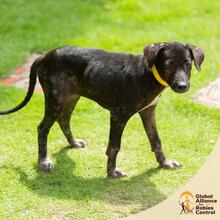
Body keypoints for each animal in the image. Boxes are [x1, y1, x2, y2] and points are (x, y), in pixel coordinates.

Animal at [0, 42, 205, 178]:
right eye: (168, 64)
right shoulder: (118, 116)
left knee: (64, 120)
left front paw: (164, 163)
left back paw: (73, 143)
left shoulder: (148, 112)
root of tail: (44, 56)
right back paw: (44, 161)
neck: (148, 74)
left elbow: (156, 140)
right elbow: (114, 146)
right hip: (55, 99)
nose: (182, 86)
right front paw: (111, 171)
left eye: (188, 63)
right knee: (43, 128)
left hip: (71, 97)